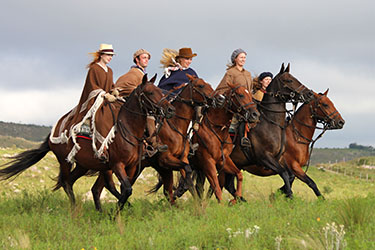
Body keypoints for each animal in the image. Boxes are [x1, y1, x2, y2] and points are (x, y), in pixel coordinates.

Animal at [0, 74, 176, 209]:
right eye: (150, 92)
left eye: (160, 91)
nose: (170, 110)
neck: (128, 129)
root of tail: (53, 132)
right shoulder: (117, 165)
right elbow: (126, 189)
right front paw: (116, 213)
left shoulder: (132, 166)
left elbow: (125, 189)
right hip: (66, 161)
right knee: (67, 183)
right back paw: (75, 210)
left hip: (83, 165)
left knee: (74, 183)